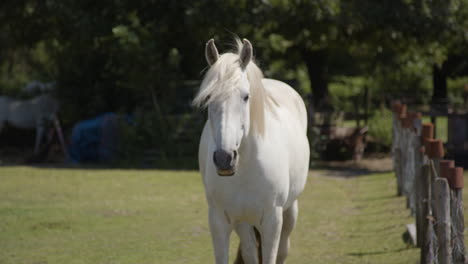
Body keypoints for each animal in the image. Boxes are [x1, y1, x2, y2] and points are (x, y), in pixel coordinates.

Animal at [192, 37, 308, 264]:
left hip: (290, 211)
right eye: (209, 97)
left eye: (246, 97)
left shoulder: (272, 222)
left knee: (283, 250)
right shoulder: (220, 221)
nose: (225, 158)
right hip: (243, 223)